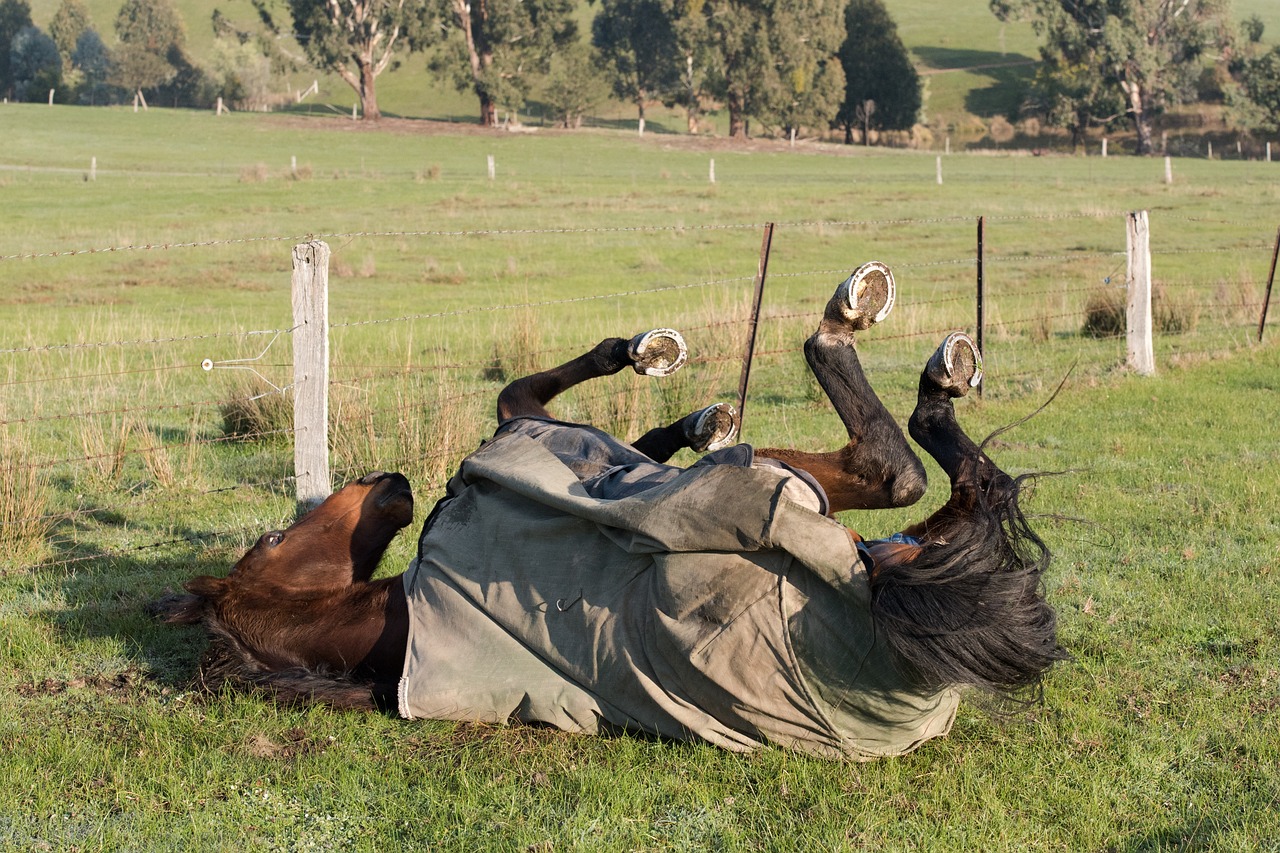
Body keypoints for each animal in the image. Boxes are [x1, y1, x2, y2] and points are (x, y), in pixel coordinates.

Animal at [154, 262, 1064, 753]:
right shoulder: (523, 436)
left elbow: (618, 427)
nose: (390, 480)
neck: (391, 626)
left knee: (922, 477)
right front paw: (650, 364)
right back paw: (875, 333)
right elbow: (528, 393)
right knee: (895, 464)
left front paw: (682, 399)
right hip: (795, 499)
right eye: (278, 533)